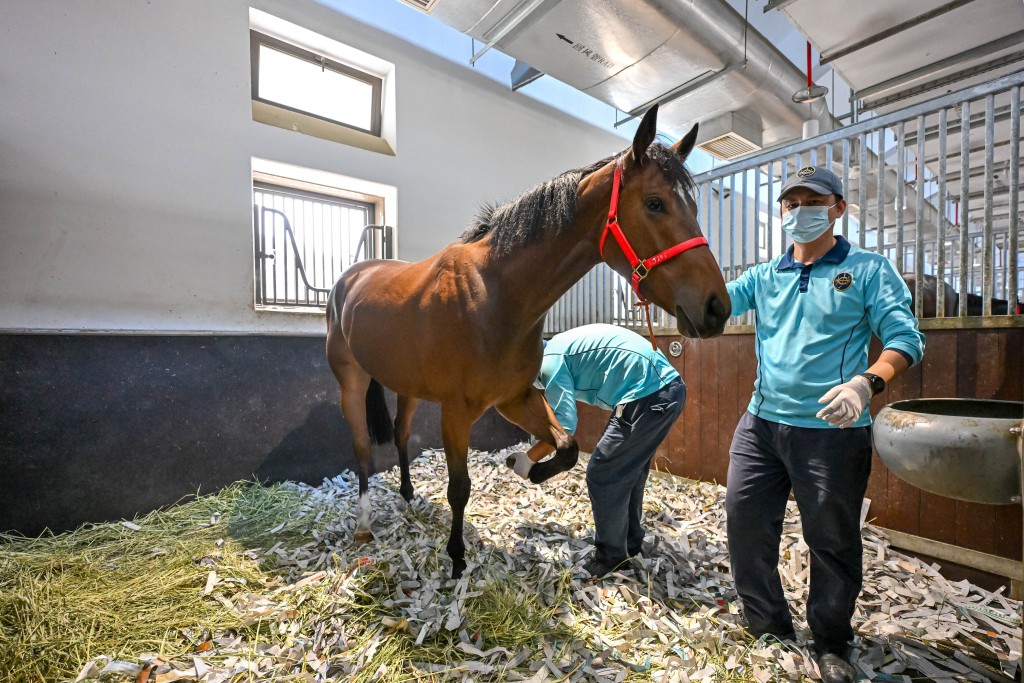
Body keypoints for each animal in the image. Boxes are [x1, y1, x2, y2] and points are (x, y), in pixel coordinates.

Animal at [325, 105, 731, 578]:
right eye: (654, 203)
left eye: (693, 206)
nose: (716, 307)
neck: (494, 294)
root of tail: (351, 278)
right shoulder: (457, 412)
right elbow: (459, 487)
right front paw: (457, 558)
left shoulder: (515, 398)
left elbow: (568, 446)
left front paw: (527, 469)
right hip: (350, 382)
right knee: (362, 449)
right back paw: (363, 523)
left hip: (407, 385)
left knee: (401, 433)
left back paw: (408, 494)